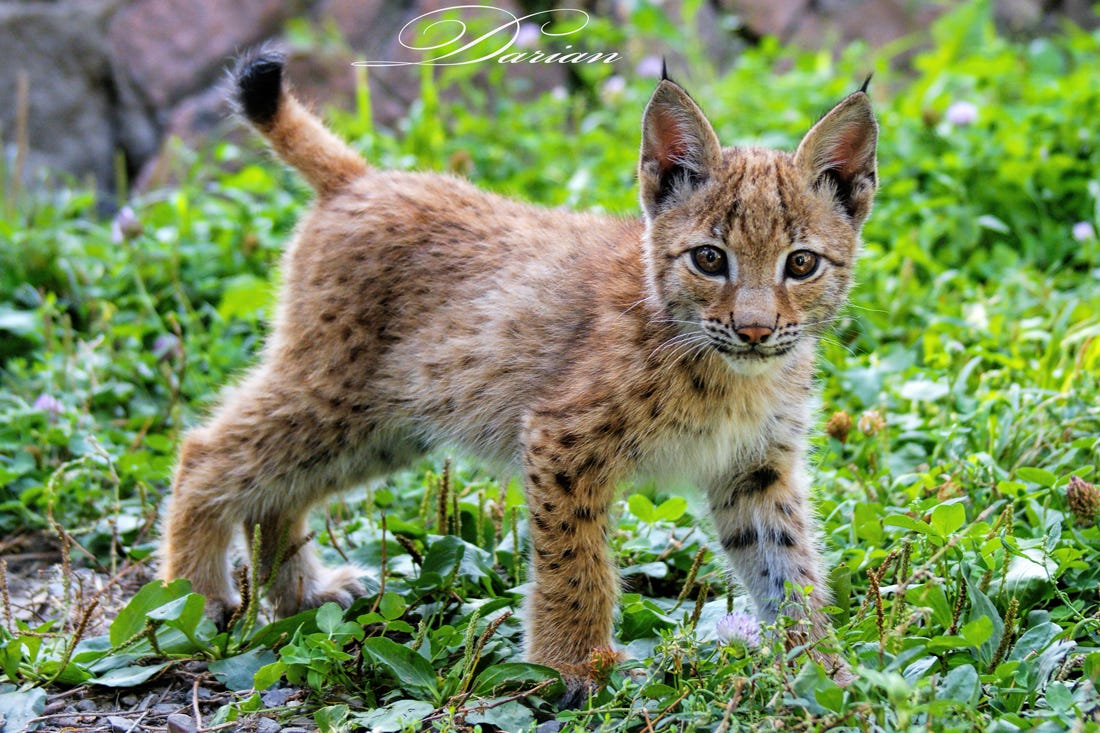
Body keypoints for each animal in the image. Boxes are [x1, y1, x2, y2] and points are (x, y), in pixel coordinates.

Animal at [160, 50, 875, 695]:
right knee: (203, 451)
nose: (754, 329)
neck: (730, 372)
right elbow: (575, 559)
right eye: (708, 259)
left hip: (387, 427)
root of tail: (364, 178)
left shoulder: (754, 466)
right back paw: (185, 605)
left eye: (801, 264)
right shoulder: (562, 436)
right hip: (337, 394)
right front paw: (574, 666)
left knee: (274, 489)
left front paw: (822, 670)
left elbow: (787, 563)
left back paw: (299, 595)